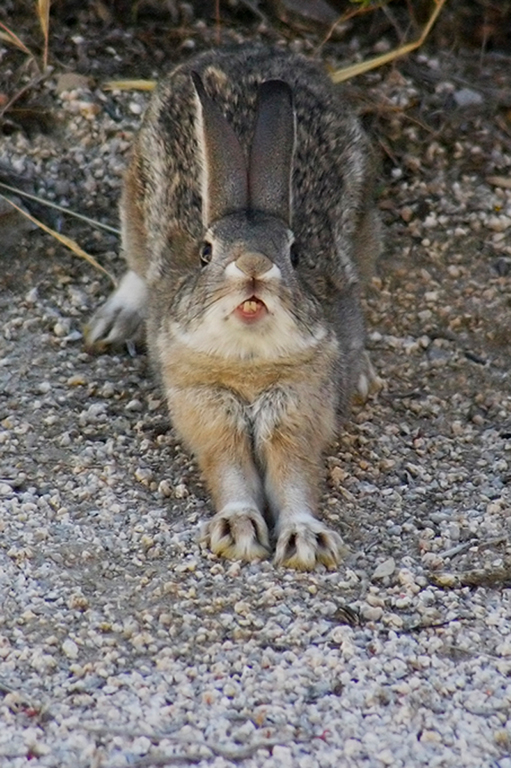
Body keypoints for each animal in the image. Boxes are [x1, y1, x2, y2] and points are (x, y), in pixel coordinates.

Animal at [86, 43, 382, 568]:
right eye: (206, 252)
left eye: (294, 253)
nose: (253, 267)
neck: (248, 364)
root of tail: (248, 50)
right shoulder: (207, 412)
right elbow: (230, 472)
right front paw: (238, 530)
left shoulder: (299, 411)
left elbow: (293, 478)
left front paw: (305, 541)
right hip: (134, 208)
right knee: (138, 269)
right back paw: (113, 322)